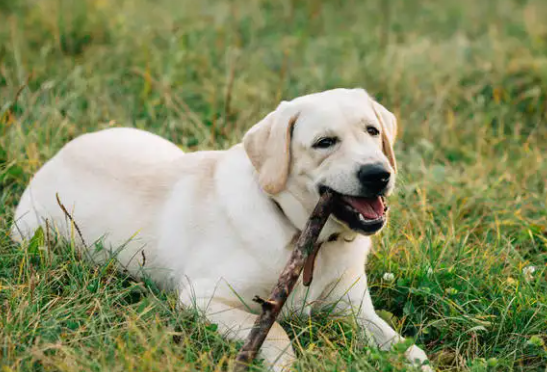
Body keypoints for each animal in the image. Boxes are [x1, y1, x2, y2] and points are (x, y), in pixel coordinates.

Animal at [10, 88, 432, 370]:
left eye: (373, 131)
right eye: (324, 142)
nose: (378, 174)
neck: (305, 238)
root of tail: (58, 154)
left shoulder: (355, 310)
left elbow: (406, 345)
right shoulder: (203, 298)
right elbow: (276, 334)